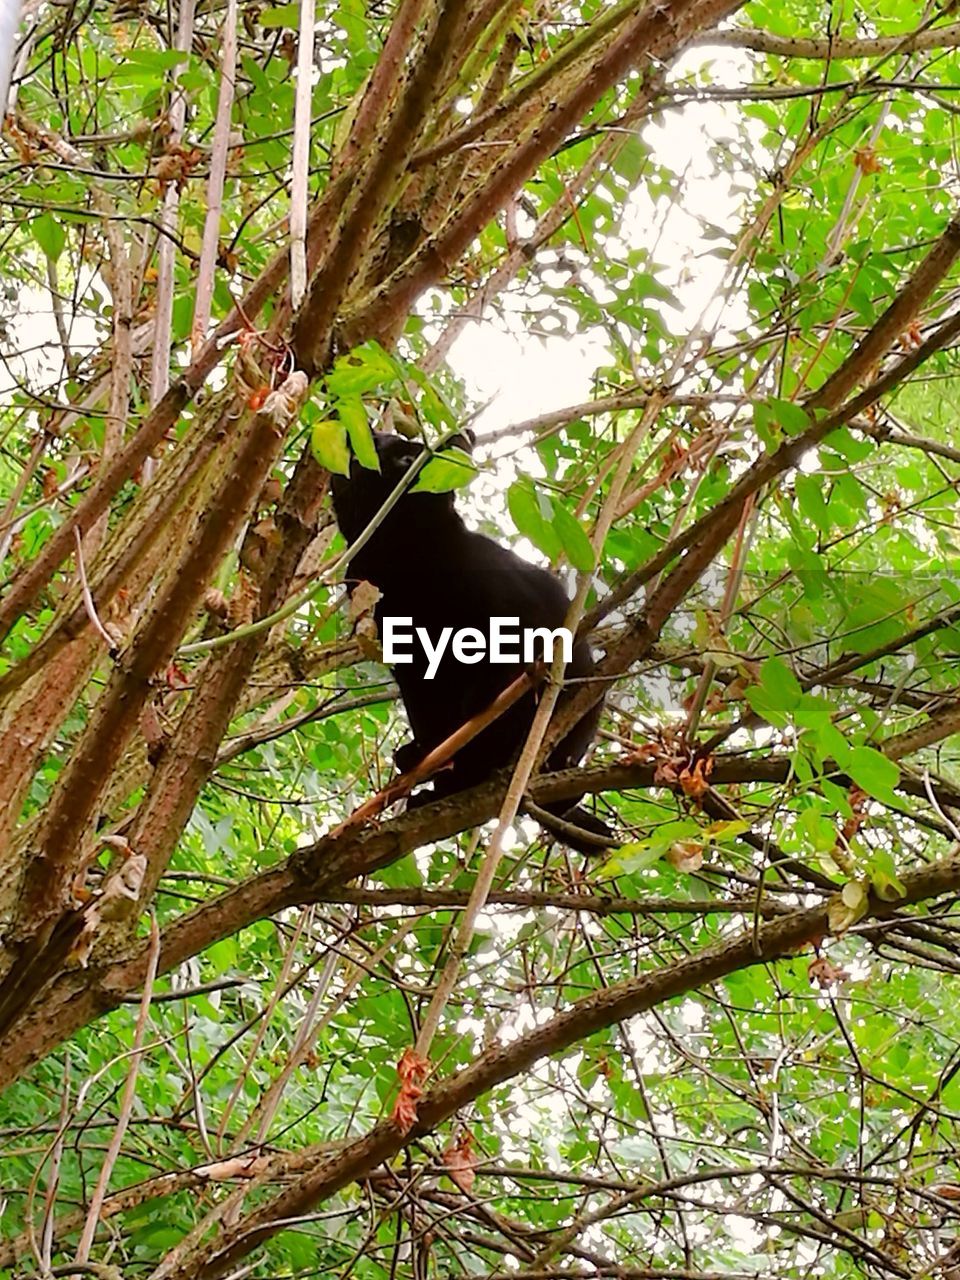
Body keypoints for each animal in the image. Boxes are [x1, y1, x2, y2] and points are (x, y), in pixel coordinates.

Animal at [330, 432, 611, 849]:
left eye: (392, 450)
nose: (371, 434)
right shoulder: (413, 666)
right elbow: (430, 717)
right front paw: (428, 755)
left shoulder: (514, 628)